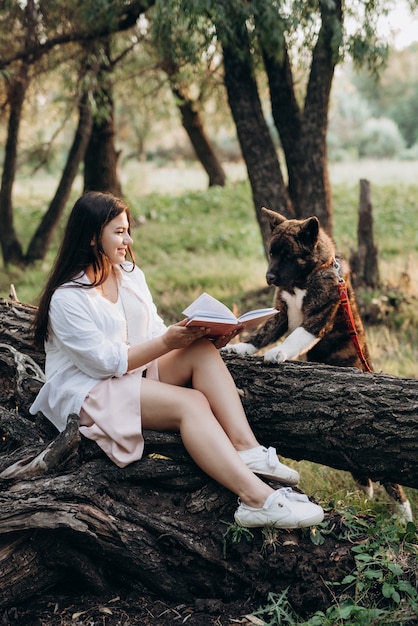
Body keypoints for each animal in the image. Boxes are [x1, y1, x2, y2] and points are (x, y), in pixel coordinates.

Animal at [225, 207, 412, 520]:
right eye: (271, 253)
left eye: (288, 255)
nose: (269, 277)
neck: (304, 278)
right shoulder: (281, 313)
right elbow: (262, 333)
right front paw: (241, 348)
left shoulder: (316, 319)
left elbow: (293, 338)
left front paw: (278, 354)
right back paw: (366, 488)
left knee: (391, 480)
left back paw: (404, 516)